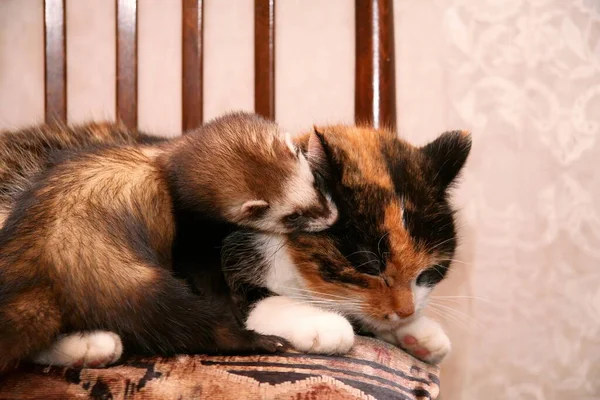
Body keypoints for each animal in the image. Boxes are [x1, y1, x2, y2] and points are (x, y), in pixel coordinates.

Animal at [0, 111, 338, 370]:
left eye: (314, 181)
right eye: (292, 216)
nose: (331, 216)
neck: (165, 162)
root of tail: (34, 278)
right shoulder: (190, 239)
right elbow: (209, 283)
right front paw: (233, 307)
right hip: (134, 286)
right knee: (190, 327)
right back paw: (261, 340)